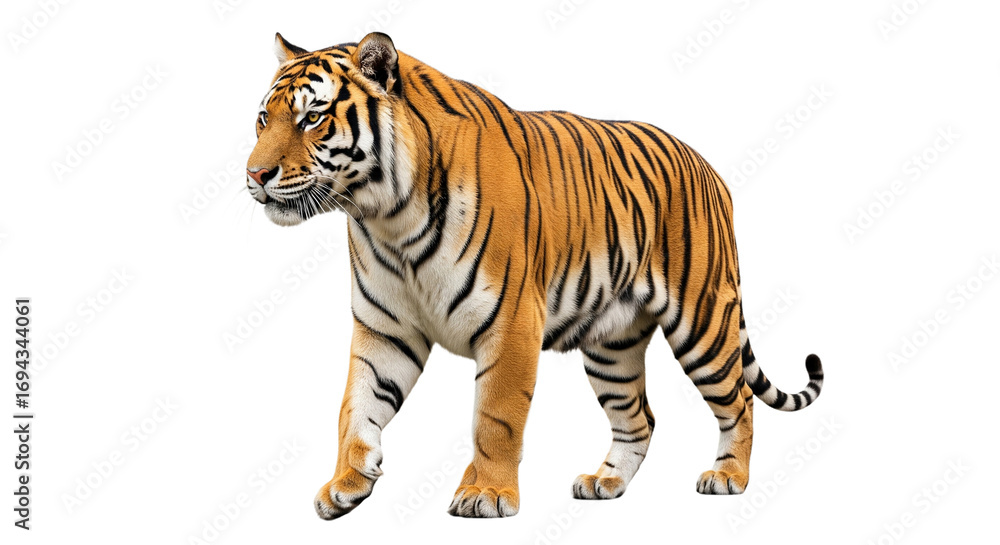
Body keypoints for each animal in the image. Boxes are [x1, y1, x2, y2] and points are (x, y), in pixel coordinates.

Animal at [245, 31, 824, 519]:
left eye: (312, 118)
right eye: (263, 119)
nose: (254, 174)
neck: (387, 215)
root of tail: (708, 167)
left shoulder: (510, 323)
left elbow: (495, 417)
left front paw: (485, 493)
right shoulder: (385, 329)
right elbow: (356, 406)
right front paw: (346, 483)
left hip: (702, 321)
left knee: (739, 401)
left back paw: (729, 477)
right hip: (612, 347)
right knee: (639, 418)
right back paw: (605, 483)